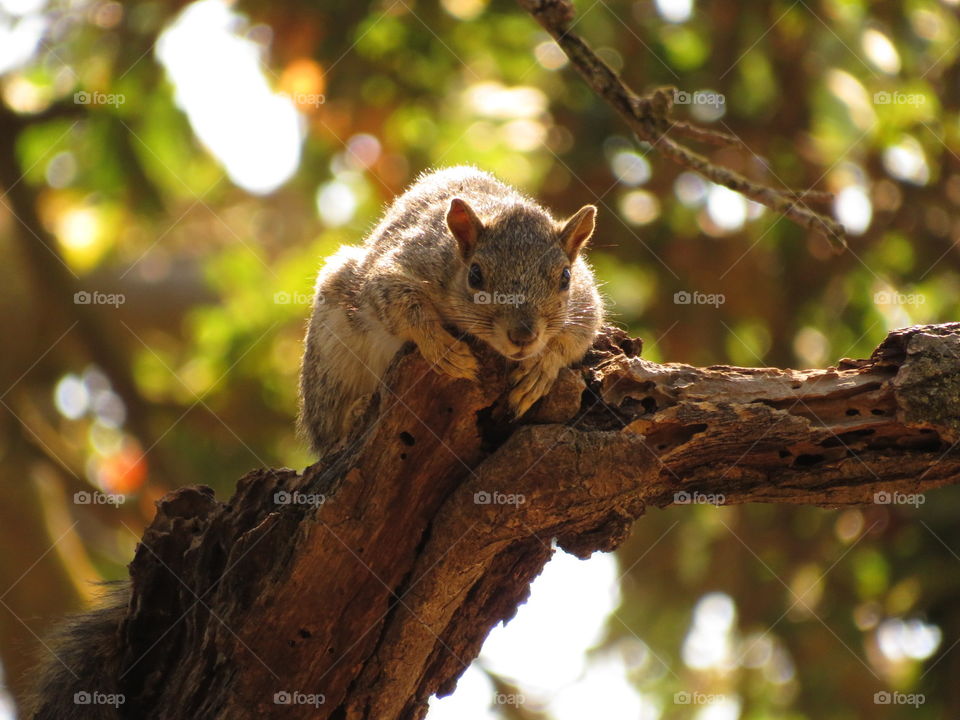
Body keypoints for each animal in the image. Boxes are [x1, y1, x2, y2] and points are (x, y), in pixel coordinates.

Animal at [298, 166, 604, 455]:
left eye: (566, 277)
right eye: (475, 275)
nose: (523, 336)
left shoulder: (586, 299)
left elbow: (579, 335)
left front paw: (540, 368)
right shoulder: (402, 264)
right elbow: (399, 302)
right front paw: (443, 348)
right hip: (331, 357)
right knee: (328, 428)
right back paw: (354, 412)